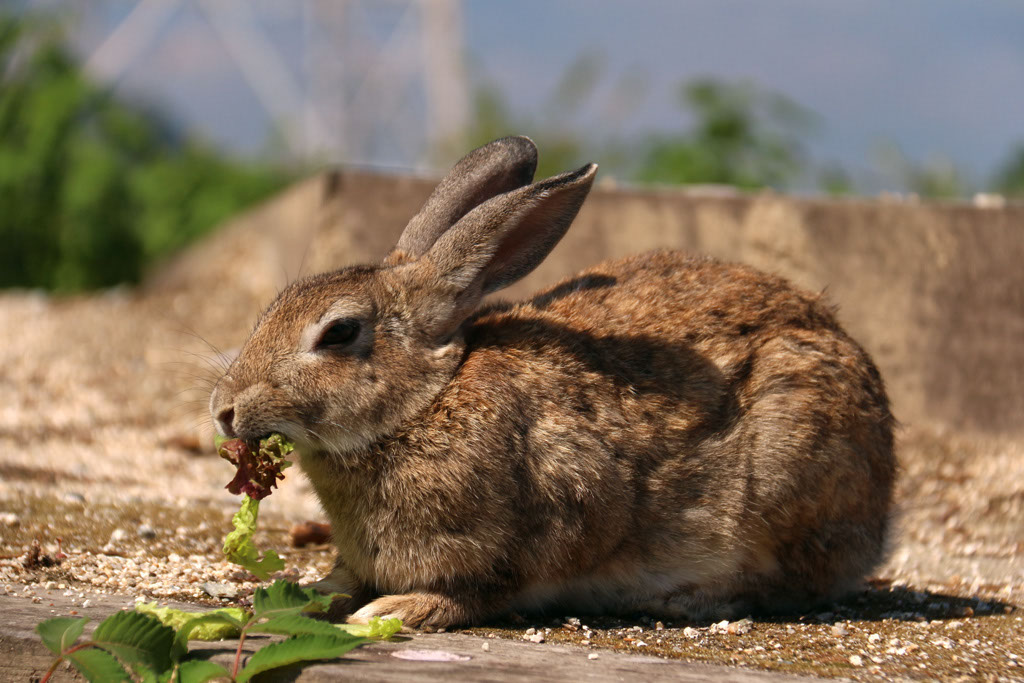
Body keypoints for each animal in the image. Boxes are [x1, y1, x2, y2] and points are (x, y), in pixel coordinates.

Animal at [209, 136, 896, 629]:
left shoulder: (541, 530)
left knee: (790, 583)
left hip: (793, 464)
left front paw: (395, 611)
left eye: (340, 333)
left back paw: (686, 600)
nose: (223, 409)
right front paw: (313, 590)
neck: (424, 405)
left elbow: (477, 593)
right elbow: (343, 580)